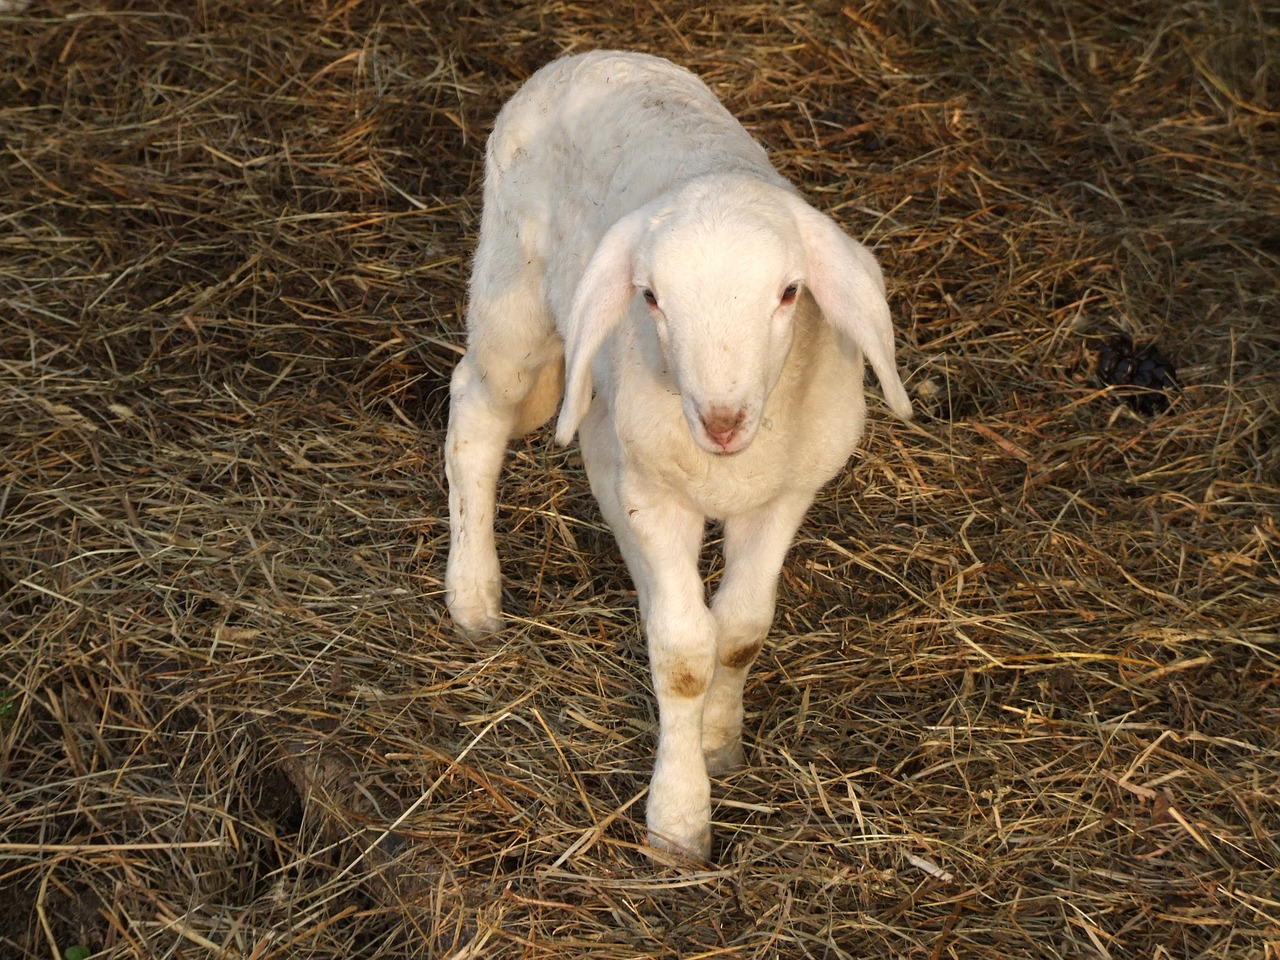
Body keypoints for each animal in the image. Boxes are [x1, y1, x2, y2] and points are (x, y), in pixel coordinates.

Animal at [445, 50, 916, 865]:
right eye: (652, 297)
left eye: (790, 293)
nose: (723, 421)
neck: (727, 467)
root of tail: (592, 55)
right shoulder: (654, 496)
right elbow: (686, 652)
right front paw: (678, 820)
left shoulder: (783, 495)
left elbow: (742, 631)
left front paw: (720, 742)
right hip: (512, 288)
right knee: (473, 409)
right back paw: (472, 595)